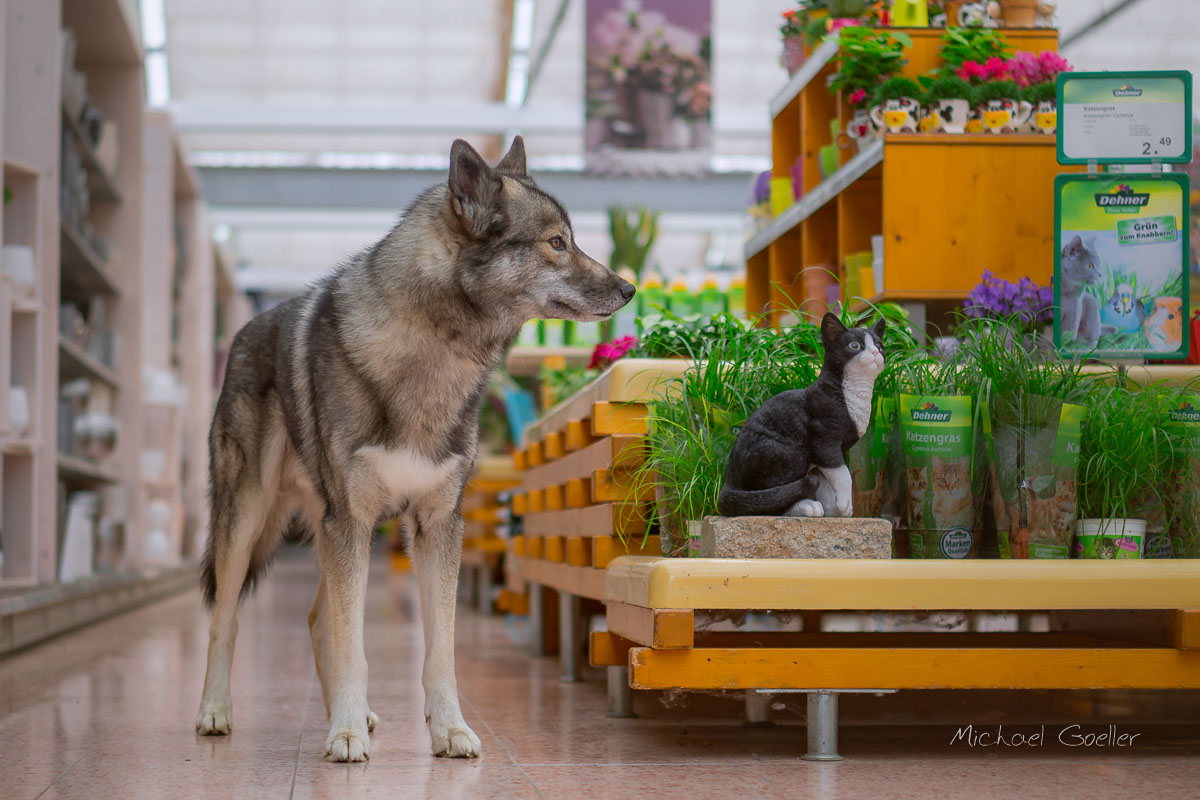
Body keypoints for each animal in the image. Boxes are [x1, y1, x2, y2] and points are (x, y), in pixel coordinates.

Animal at [194, 139, 638, 762]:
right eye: (557, 242)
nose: (629, 289)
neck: (435, 347)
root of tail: (244, 331)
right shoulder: (354, 522)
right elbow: (355, 646)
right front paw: (346, 735)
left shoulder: (436, 524)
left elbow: (439, 651)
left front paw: (446, 729)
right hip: (249, 520)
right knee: (226, 620)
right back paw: (217, 712)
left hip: (329, 532)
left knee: (317, 620)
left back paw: (348, 715)